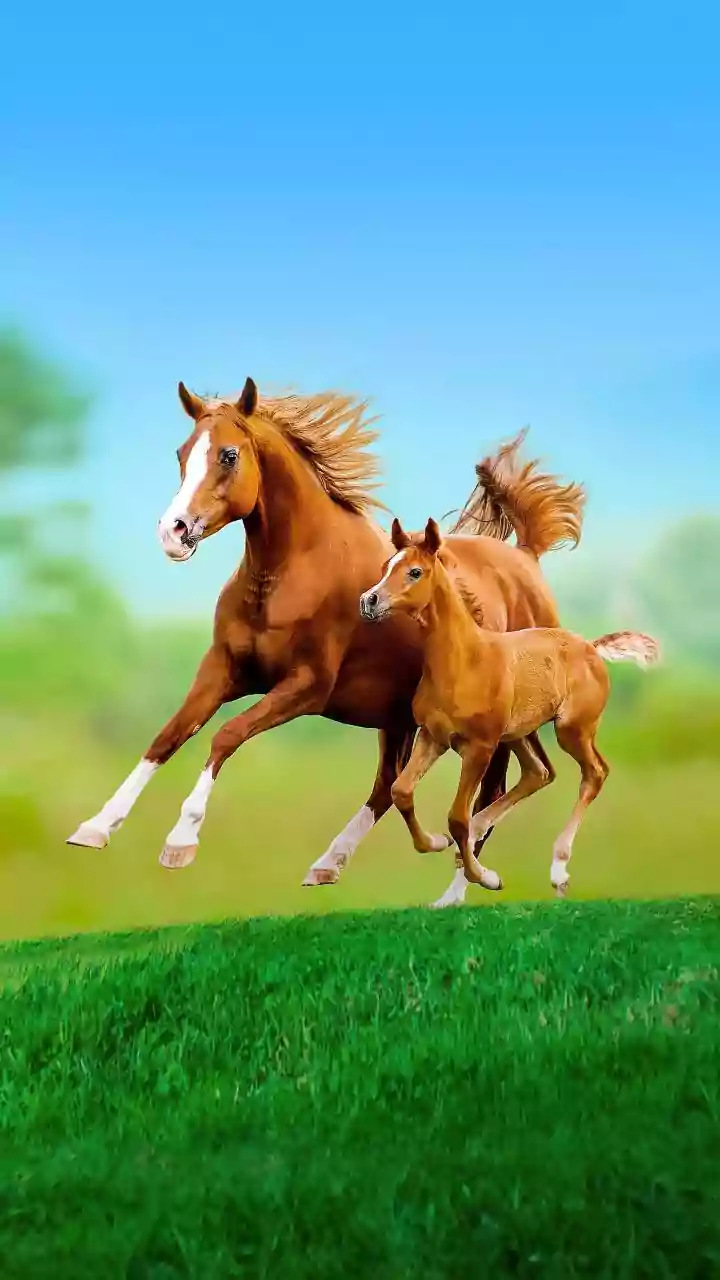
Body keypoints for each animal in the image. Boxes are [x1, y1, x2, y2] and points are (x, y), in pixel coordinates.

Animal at [66, 378, 586, 908]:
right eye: (182, 452)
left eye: (229, 455)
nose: (172, 532)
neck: (291, 572)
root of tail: (526, 558)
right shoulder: (223, 669)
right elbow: (167, 736)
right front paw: (95, 827)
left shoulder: (306, 686)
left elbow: (225, 735)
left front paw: (180, 842)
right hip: (397, 716)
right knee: (389, 786)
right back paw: (329, 863)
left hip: (493, 726)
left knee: (491, 790)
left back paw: (457, 891)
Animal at [360, 517, 659, 896]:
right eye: (387, 566)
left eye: (415, 571)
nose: (369, 601)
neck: (464, 662)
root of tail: (591, 647)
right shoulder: (433, 737)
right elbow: (401, 791)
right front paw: (437, 843)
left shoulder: (480, 747)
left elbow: (456, 817)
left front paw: (486, 876)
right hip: (517, 734)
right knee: (538, 772)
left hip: (571, 730)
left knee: (594, 773)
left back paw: (559, 869)